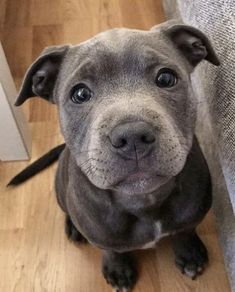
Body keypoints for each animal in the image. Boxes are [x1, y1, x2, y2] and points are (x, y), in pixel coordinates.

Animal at [11, 19, 220, 290]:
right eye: (80, 94)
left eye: (166, 78)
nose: (132, 136)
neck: (143, 201)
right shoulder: (102, 236)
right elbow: (111, 250)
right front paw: (118, 270)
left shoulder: (192, 213)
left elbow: (185, 231)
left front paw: (190, 253)